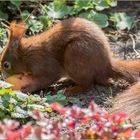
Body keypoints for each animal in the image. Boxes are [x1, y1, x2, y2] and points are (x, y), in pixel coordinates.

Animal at [0, 17, 140, 96]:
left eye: (6, 65)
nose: (4, 77)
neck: (26, 55)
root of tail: (106, 66)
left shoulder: (43, 64)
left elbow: (46, 79)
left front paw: (28, 88)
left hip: (75, 56)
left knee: (88, 84)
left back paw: (71, 90)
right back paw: (65, 81)